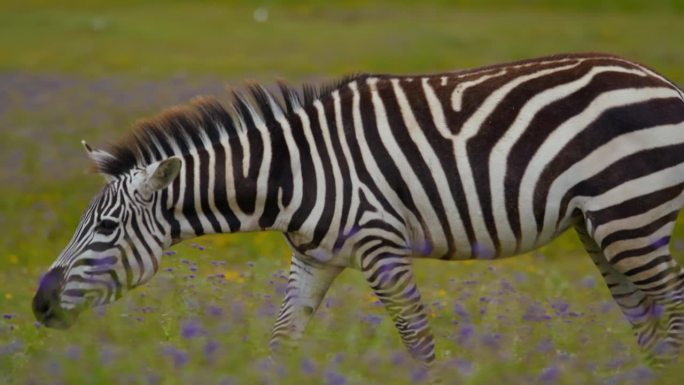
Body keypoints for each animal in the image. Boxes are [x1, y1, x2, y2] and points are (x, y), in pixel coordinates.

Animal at [33, 52, 684, 368]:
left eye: (107, 227)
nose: (38, 306)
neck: (288, 173)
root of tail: (660, 79)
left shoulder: (381, 246)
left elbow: (418, 344)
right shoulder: (314, 260)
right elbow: (281, 343)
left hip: (631, 215)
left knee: (672, 306)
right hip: (601, 228)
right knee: (648, 324)